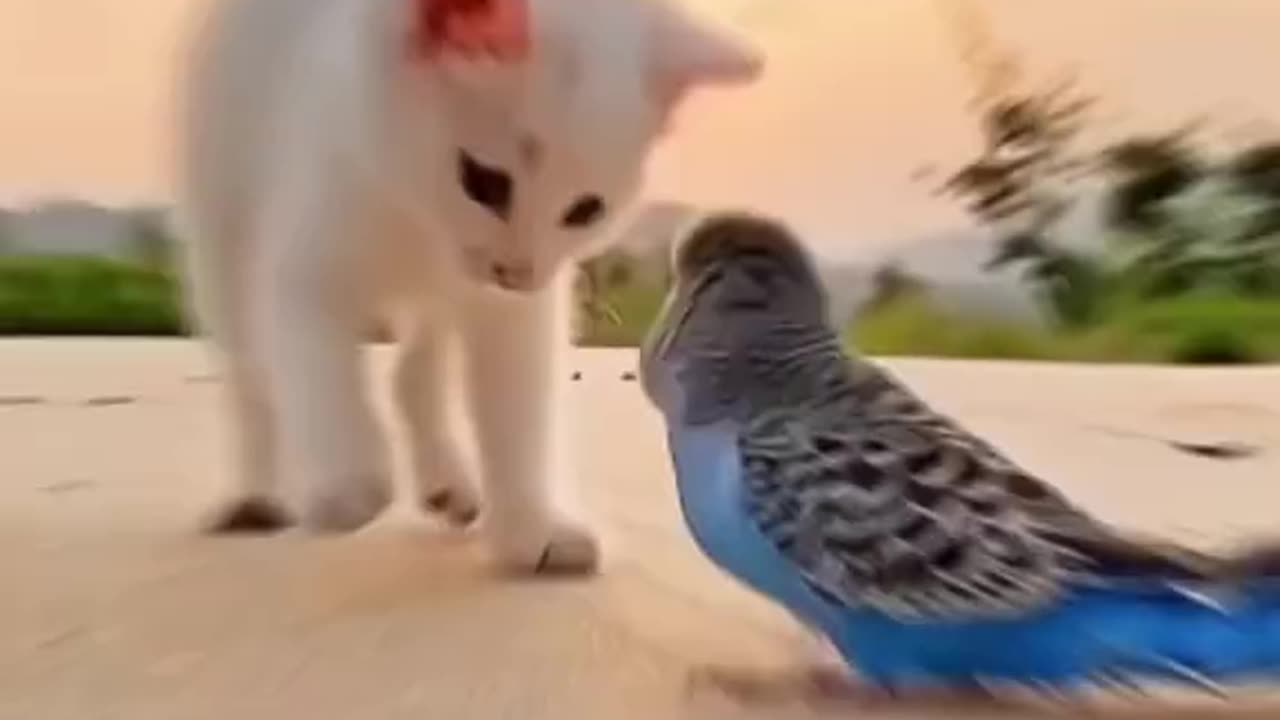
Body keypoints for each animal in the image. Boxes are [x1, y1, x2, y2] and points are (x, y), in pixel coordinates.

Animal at [176, 0, 762, 571]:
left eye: (586, 210)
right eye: (482, 182)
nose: (517, 272)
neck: (422, 230)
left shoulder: (514, 311)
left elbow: (519, 408)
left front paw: (536, 528)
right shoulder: (308, 253)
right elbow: (317, 370)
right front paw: (349, 481)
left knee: (413, 374)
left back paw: (448, 482)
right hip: (223, 222)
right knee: (252, 376)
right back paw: (259, 495)